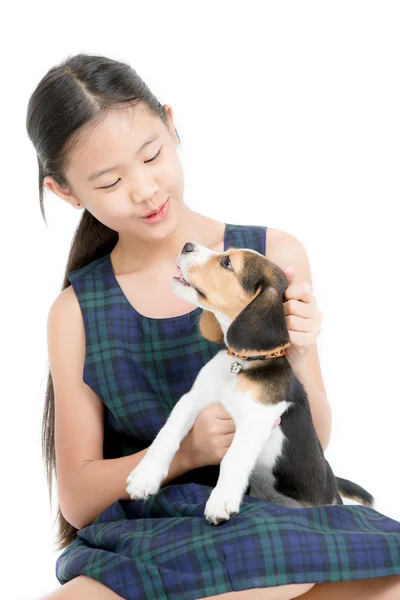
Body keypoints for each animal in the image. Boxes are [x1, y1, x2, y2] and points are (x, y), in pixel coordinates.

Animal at [126, 241, 376, 524]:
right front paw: (144, 477)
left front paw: (221, 501)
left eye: (227, 263)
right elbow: (166, 433)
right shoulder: (192, 398)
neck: (240, 364)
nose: (187, 245)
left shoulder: (259, 418)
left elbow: (232, 458)